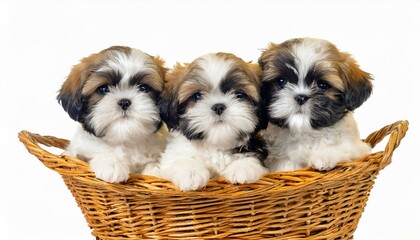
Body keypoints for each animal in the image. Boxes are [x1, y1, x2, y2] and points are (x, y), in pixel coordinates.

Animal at [56, 46, 167, 183]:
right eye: (103, 89)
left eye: (144, 88)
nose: (124, 102)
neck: (124, 140)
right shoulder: (76, 152)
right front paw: (111, 164)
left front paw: (156, 171)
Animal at [156, 52, 268, 191]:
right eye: (197, 96)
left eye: (240, 95)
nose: (218, 107)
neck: (216, 146)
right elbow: (179, 161)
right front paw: (191, 172)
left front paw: (243, 167)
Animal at [260, 37, 374, 172]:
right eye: (282, 81)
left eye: (323, 85)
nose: (301, 97)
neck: (306, 133)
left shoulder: (358, 148)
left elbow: (345, 149)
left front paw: (324, 155)